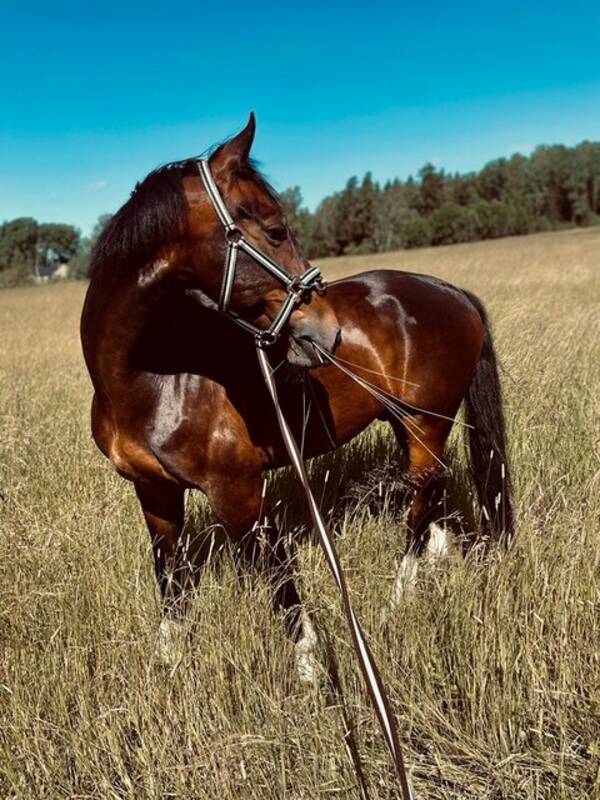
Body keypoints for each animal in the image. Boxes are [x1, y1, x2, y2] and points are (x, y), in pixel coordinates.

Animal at [81, 112, 516, 676]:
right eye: (275, 229)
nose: (326, 332)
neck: (153, 382)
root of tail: (451, 290)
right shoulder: (153, 494)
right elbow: (171, 579)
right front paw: (170, 663)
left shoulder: (240, 495)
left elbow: (278, 581)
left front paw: (310, 669)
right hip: (406, 424)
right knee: (431, 502)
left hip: (428, 422)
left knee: (420, 506)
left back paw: (396, 601)